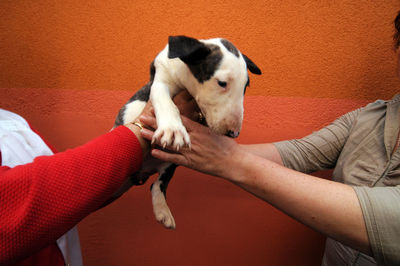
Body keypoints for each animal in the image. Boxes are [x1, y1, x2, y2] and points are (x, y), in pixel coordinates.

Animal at [113, 36, 262, 230]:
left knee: (157, 185)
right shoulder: (160, 80)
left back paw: (163, 212)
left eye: (246, 86)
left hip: (170, 164)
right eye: (222, 83)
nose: (233, 133)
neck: (184, 79)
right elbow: (164, 100)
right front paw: (172, 129)